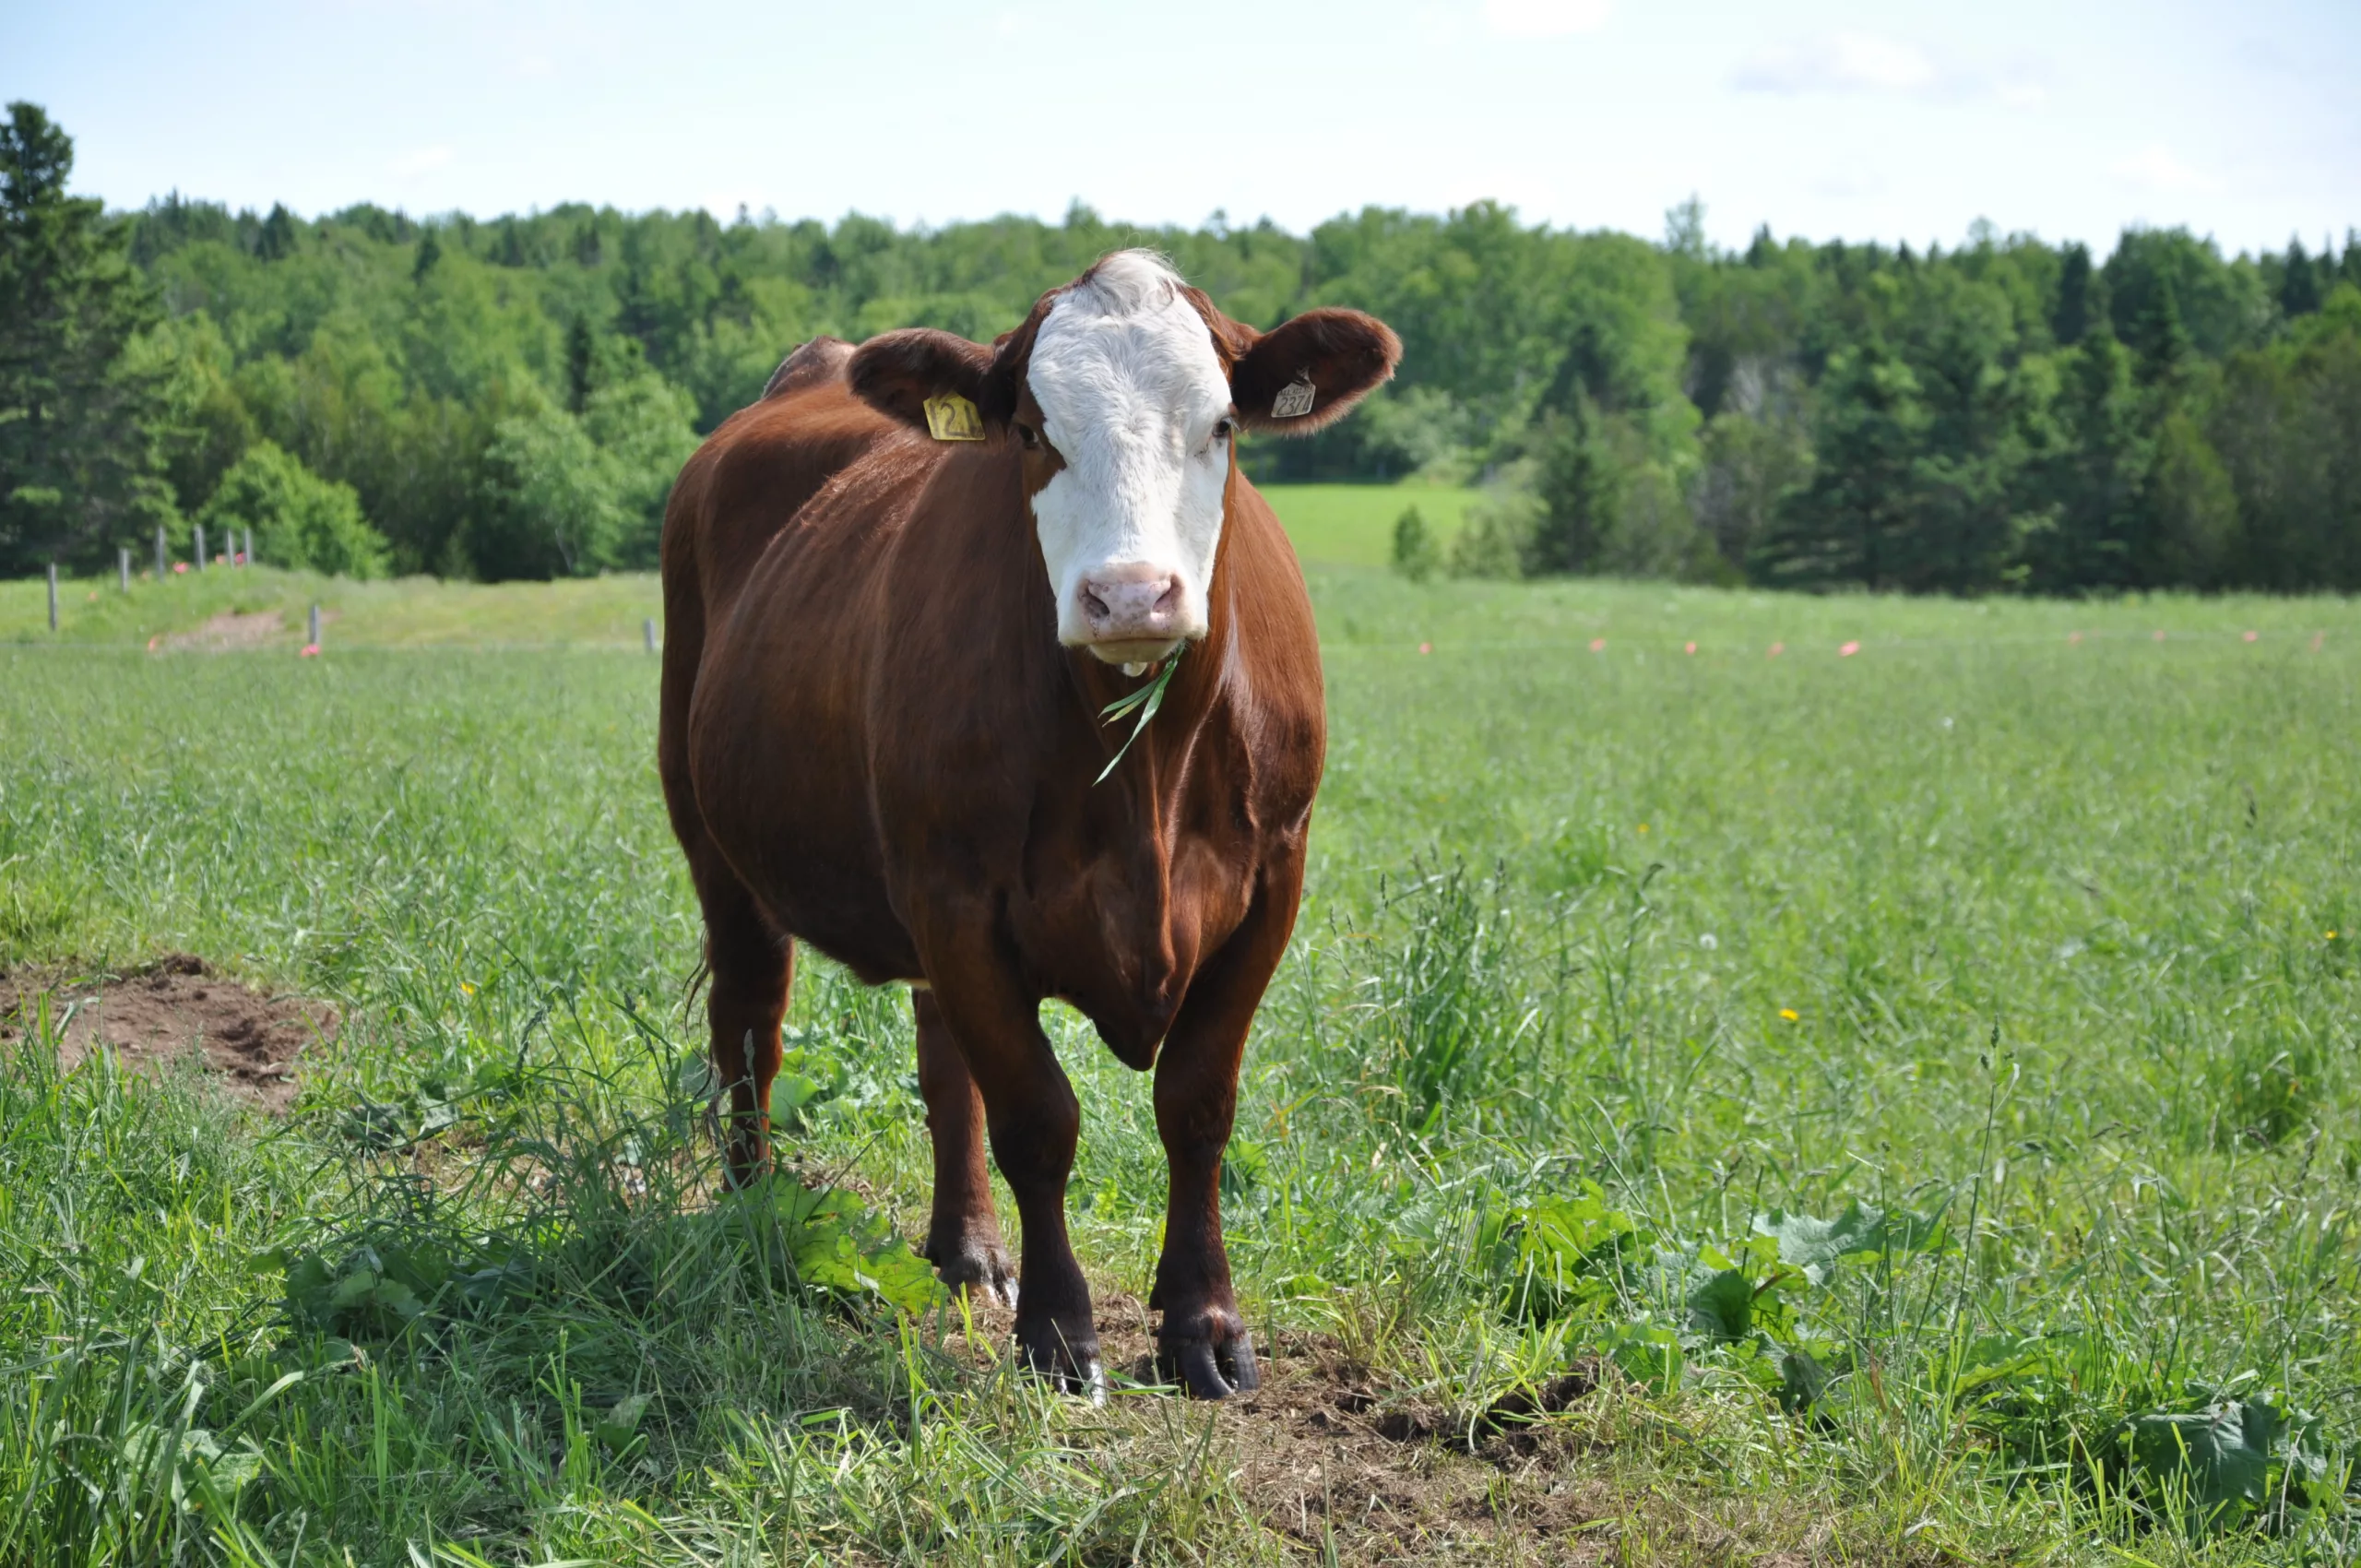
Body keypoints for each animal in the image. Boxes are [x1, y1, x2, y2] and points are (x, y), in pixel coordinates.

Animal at [657, 251, 1400, 1399]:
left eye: (1221, 424)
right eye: (1033, 430)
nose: (1131, 594)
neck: (1142, 771)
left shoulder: (1271, 880)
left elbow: (1196, 1103)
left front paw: (1204, 1324)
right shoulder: (956, 896)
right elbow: (1037, 1117)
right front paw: (1059, 1331)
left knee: (936, 1062)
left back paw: (967, 1248)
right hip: (718, 842)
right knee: (749, 1025)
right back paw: (754, 1211)